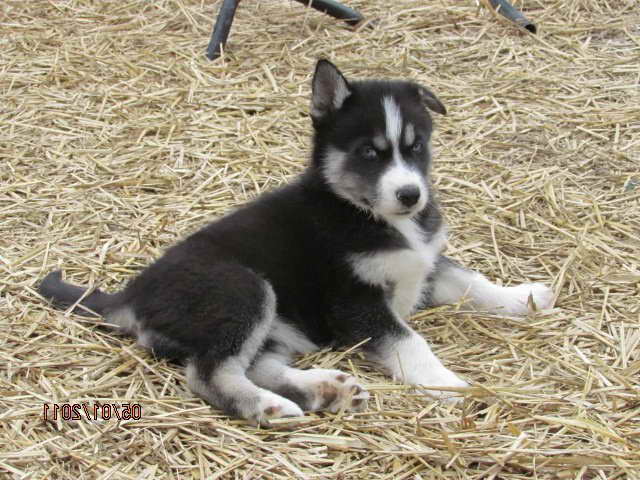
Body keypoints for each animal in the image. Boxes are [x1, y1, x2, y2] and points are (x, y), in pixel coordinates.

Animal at [37, 60, 552, 424]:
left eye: (417, 146)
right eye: (369, 152)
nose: (411, 195)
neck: (361, 210)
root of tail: (129, 293)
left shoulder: (422, 262)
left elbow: (470, 280)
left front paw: (523, 297)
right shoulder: (355, 302)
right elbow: (410, 342)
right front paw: (448, 384)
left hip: (277, 326)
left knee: (253, 364)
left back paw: (325, 390)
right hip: (243, 289)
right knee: (208, 373)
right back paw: (267, 406)